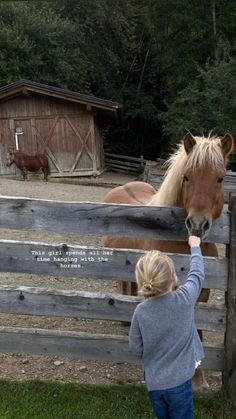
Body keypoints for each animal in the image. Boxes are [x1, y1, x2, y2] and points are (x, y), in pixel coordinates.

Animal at [102, 132, 235, 394]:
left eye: (220, 178)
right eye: (186, 176)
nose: (197, 224)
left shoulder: (200, 294)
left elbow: (197, 330)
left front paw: (199, 379)